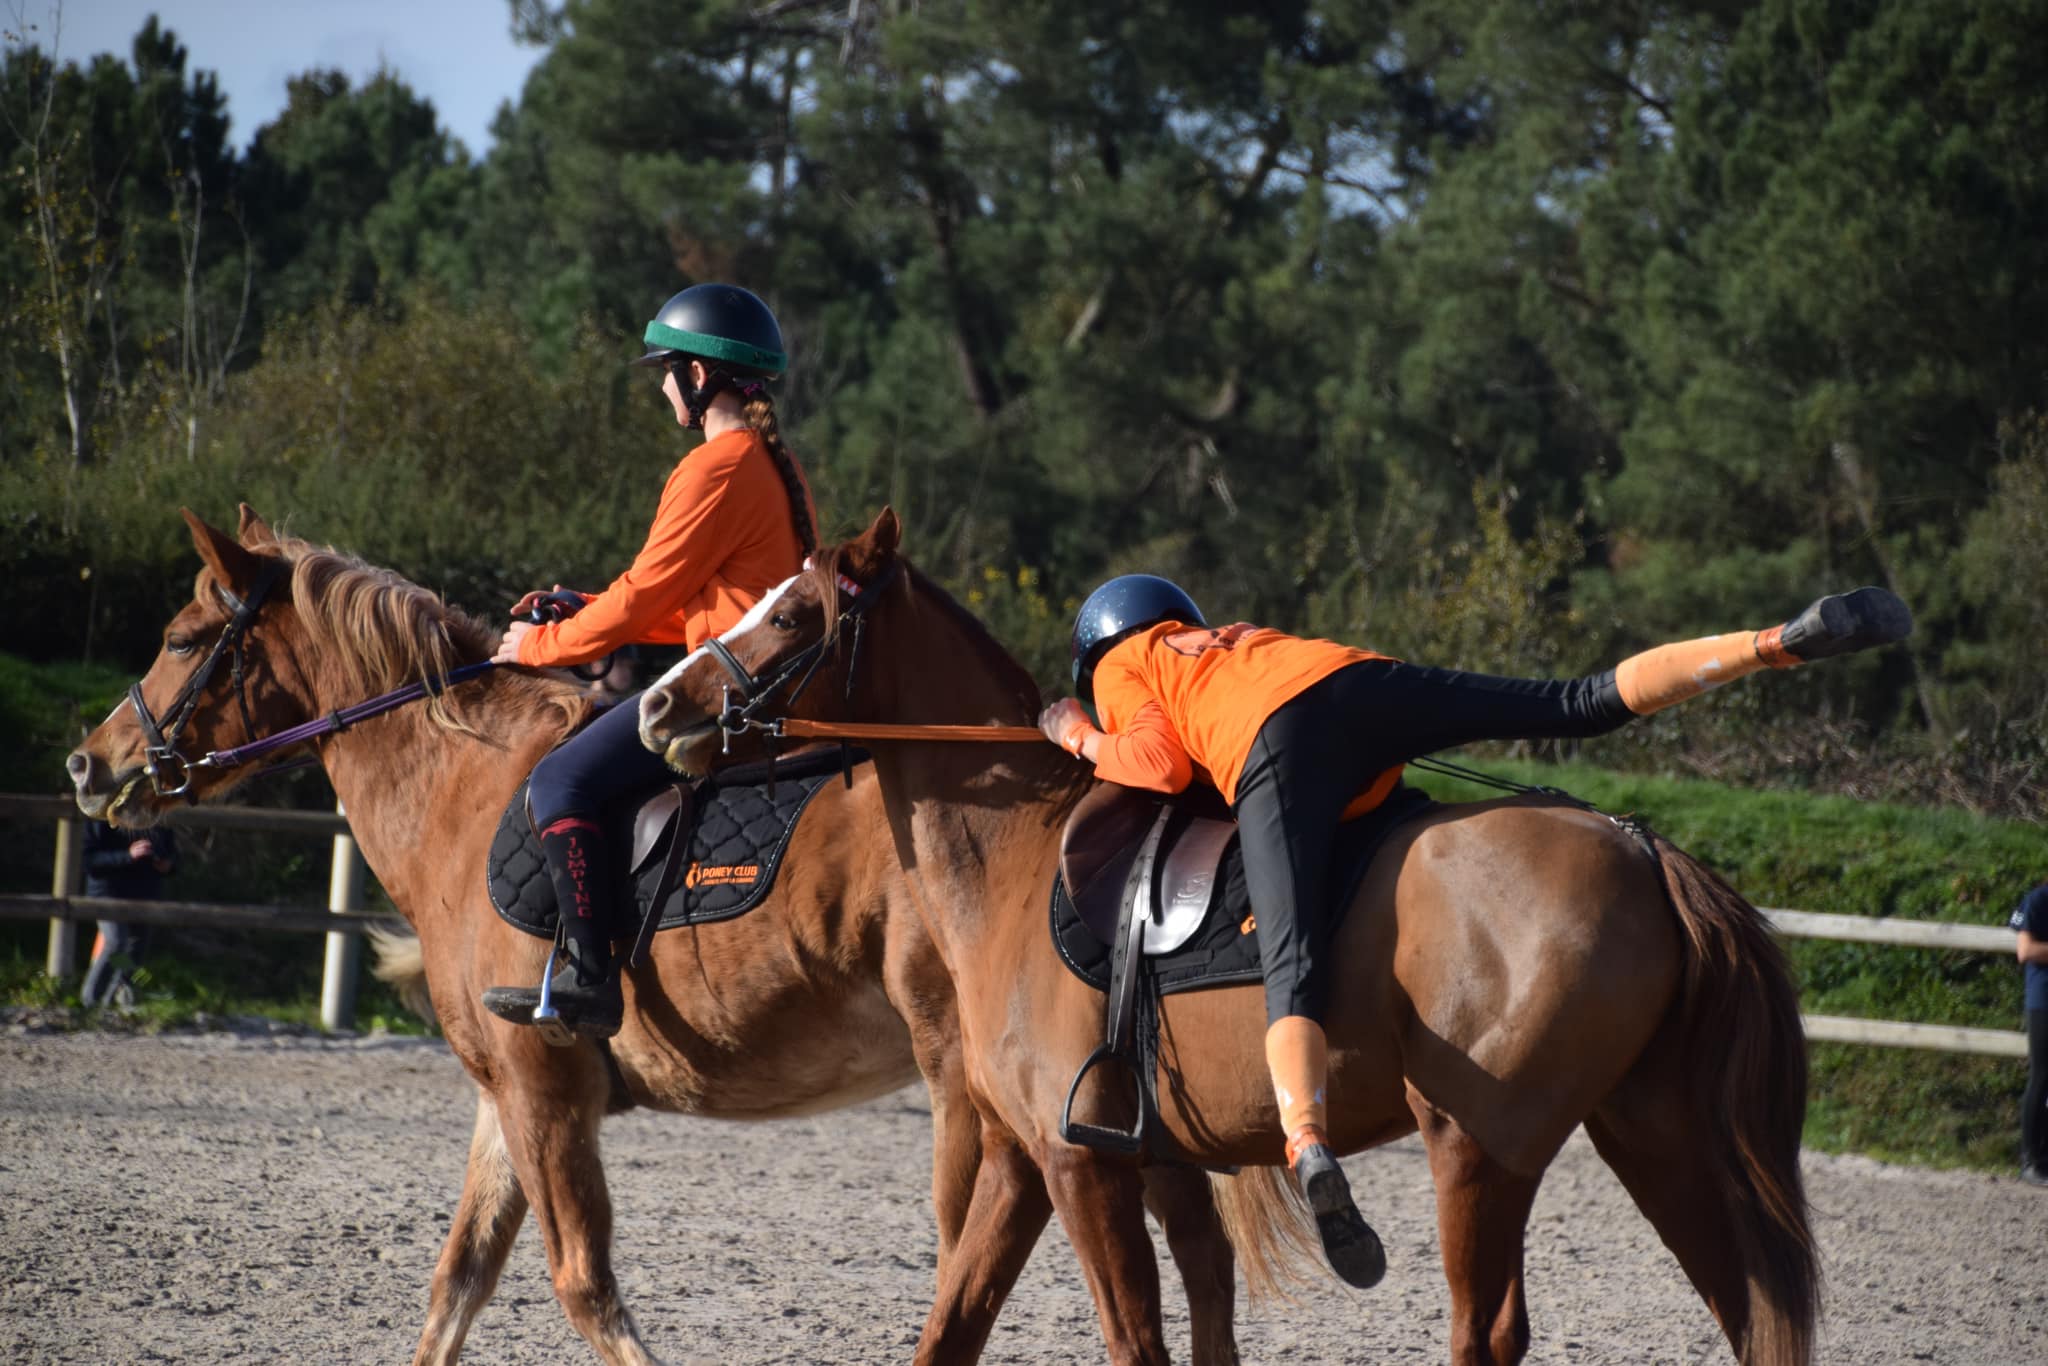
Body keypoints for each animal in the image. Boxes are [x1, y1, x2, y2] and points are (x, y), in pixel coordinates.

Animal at [64, 509, 1236, 1366]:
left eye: (181, 640)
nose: (87, 764)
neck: (460, 789)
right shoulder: (507, 1090)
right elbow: (456, 1284)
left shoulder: (544, 1089)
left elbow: (583, 1284)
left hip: (970, 1087)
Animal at [643, 509, 1826, 1366]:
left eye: (790, 616)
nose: (660, 705)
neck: (1016, 854)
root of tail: (1640, 848)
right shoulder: (1072, 1163)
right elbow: (964, 1328)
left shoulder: (1077, 1169)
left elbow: (1134, 1339)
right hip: (1655, 1133)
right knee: (1750, 1313)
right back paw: (1823, 624)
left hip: (1476, 1149)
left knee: (1487, 1332)